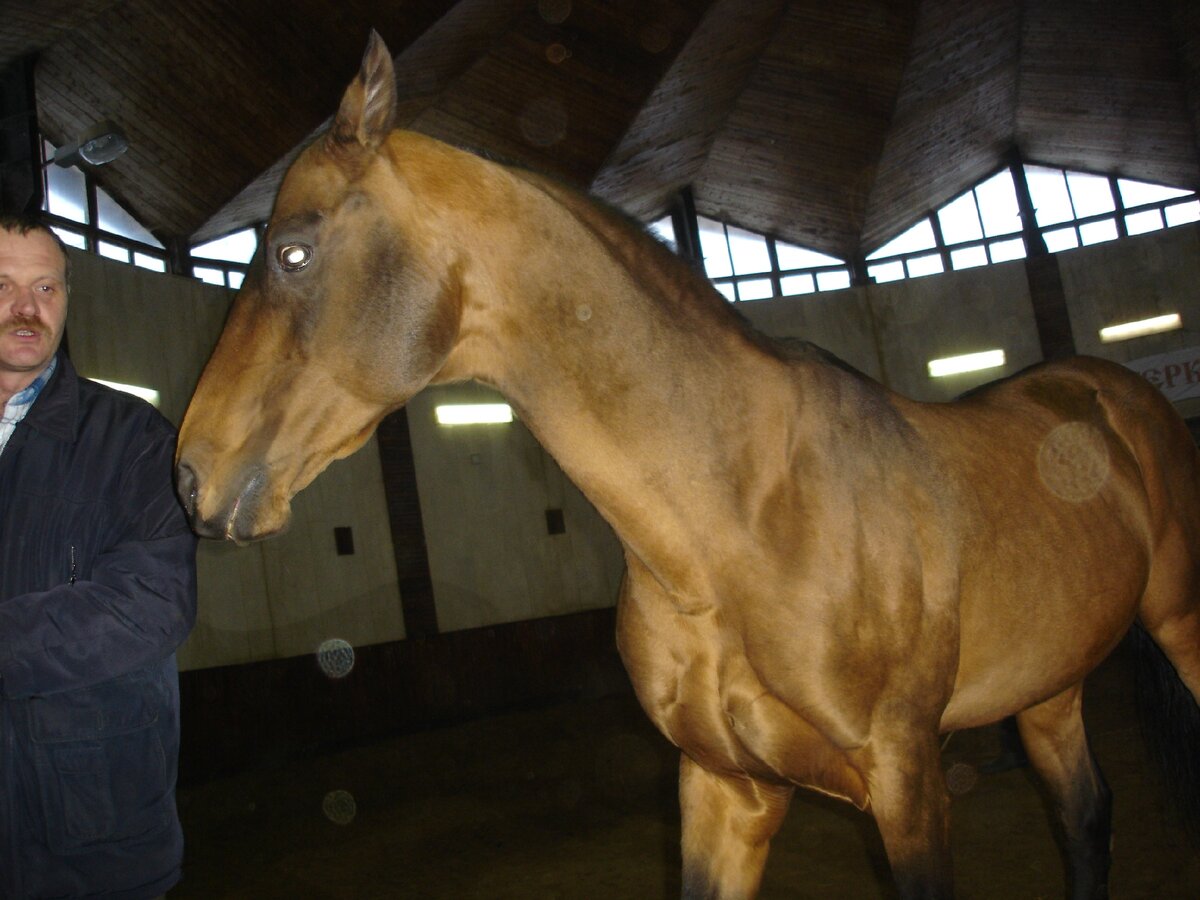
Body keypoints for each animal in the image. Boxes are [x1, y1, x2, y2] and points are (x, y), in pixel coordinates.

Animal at [171, 31, 1200, 897]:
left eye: (291, 250)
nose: (188, 477)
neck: (739, 527)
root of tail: (1120, 393)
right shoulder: (723, 788)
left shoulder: (909, 783)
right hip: (1049, 687)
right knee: (1085, 817)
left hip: (1178, 626)